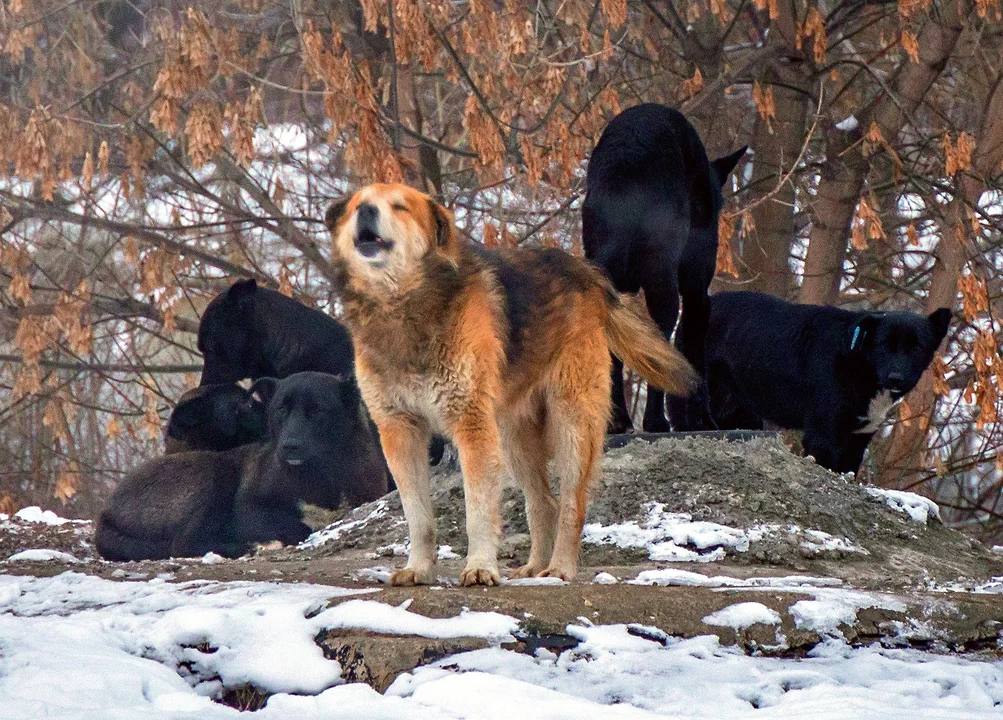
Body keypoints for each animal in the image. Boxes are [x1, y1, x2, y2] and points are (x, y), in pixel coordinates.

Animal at [95, 373, 389, 565]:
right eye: (281, 409)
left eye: (317, 410)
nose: (289, 446)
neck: (320, 473)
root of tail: (106, 513)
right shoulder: (248, 509)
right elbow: (297, 526)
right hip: (213, 479)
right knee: (182, 543)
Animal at [324, 184, 694, 585]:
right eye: (358, 205)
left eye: (399, 207)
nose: (367, 212)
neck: (402, 307)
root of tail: (587, 272)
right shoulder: (399, 431)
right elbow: (418, 517)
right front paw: (418, 569)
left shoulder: (472, 426)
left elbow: (478, 512)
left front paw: (480, 568)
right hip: (512, 438)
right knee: (543, 503)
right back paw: (535, 567)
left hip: (572, 425)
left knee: (571, 504)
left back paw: (560, 568)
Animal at [702, 290, 950, 477]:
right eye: (884, 345)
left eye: (916, 347)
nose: (895, 377)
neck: (856, 361)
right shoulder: (824, 434)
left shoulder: (858, 439)